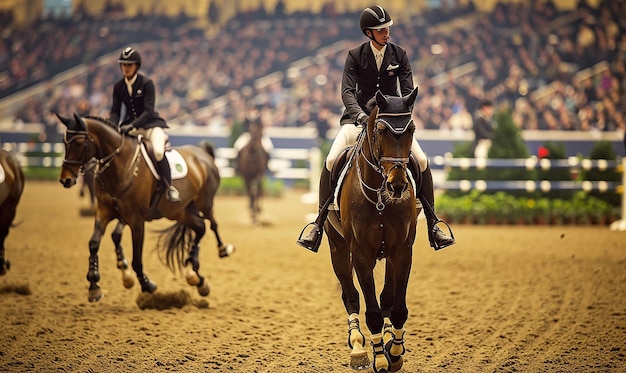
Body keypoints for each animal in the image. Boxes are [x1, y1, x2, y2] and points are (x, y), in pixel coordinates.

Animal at [55, 114, 234, 302]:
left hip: (204, 203)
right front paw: (94, 286)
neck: (120, 166)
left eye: (78, 143)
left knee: (212, 224)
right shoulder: (104, 212)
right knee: (200, 228)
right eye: (64, 142)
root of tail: (202, 152)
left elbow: (136, 258)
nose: (66, 180)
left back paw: (222, 251)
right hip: (180, 212)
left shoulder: (136, 220)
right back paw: (197, 278)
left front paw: (146, 284)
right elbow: (94, 243)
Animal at [324, 88, 416, 372]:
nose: (397, 186)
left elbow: (397, 308)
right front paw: (379, 358)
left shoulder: (402, 251)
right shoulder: (361, 254)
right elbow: (372, 312)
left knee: (386, 297)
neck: (379, 195)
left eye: (412, 130)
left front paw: (394, 352)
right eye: (382, 130)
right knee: (351, 295)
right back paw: (357, 347)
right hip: (338, 248)